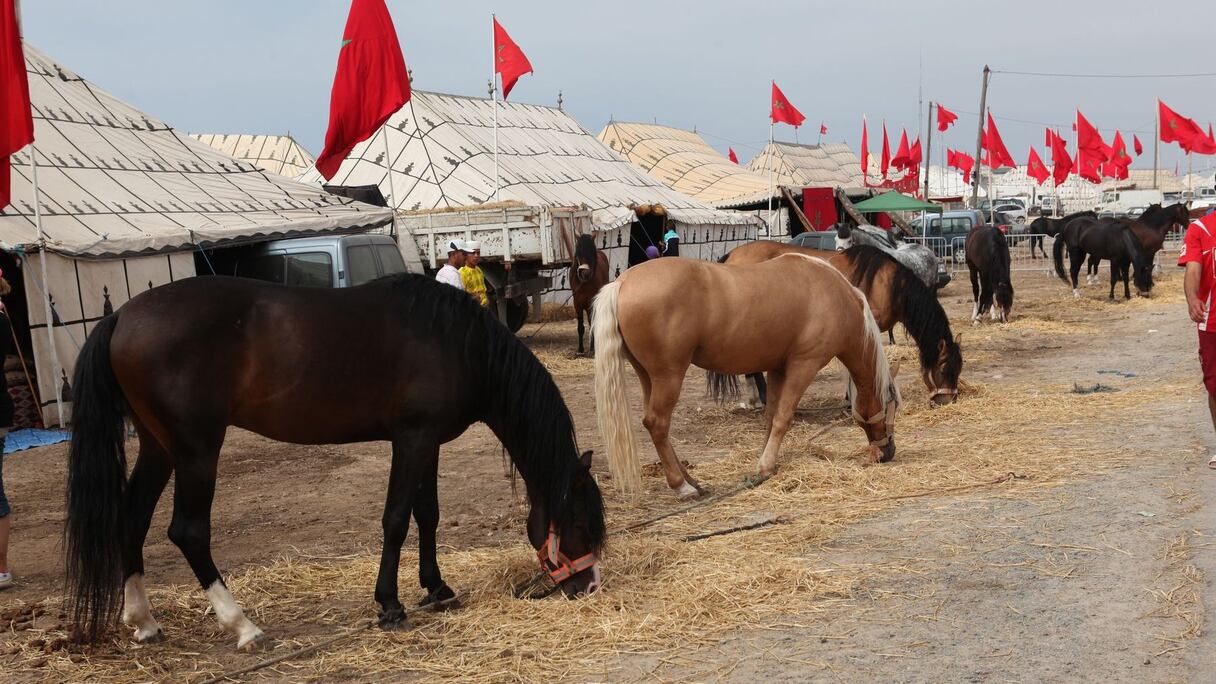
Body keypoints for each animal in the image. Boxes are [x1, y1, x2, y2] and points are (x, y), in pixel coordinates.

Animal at [64, 273, 605, 647]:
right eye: (578, 520)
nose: (588, 587)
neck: (457, 342)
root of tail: (121, 317)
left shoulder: (427, 442)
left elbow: (427, 515)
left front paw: (436, 589)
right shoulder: (411, 440)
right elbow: (396, 520)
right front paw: (390, 605)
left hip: (159, 447)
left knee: (132, 519)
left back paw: (144, 622)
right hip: (197, 450)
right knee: (188, 531)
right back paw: (242, 626)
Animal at [593, 253, 899, 499]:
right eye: (891, 403)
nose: (888, 452)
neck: (833, 294)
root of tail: (623, 282)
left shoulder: (778, 368)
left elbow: (771, 416)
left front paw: (766, 465)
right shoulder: (804, 365)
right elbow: (784, 417)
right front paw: (765, 465)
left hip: (648, 376)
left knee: (656, 425)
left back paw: (691, 479)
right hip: (668, 376)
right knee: (657, 423)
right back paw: (682, 486)